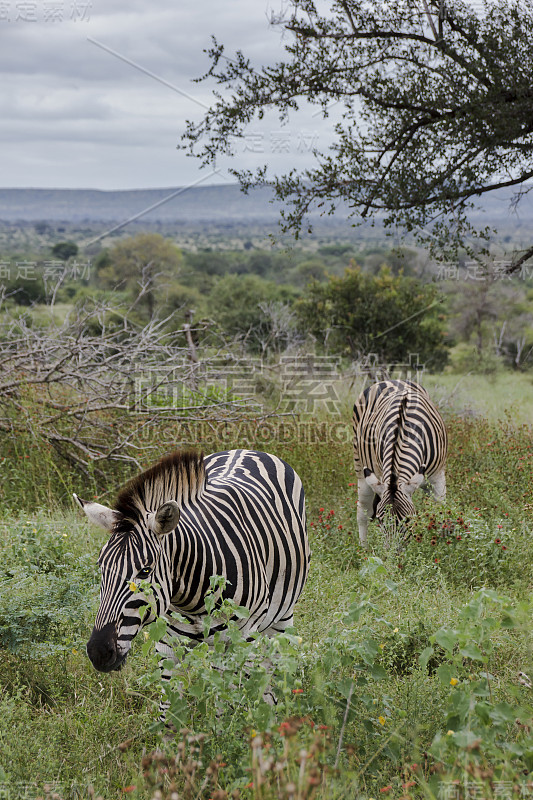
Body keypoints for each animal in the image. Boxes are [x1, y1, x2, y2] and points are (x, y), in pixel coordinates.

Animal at [72, 446, 310, 716]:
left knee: (274, 666)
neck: (191, 597)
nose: (98, 652)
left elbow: (224, 709)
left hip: (280, 616)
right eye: (101, 567)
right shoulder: (166, 644)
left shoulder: (239, 641)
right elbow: (169, 711)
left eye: (144, 571)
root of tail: (247, 449)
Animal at [352, 378, 446, 548]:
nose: (393, 554)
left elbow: (439, 514)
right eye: (381, 521)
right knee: (363, 512)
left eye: (408, 520)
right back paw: (363, 551)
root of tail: (390, 380)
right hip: (361, 468)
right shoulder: (381, 474)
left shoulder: (437, 477)